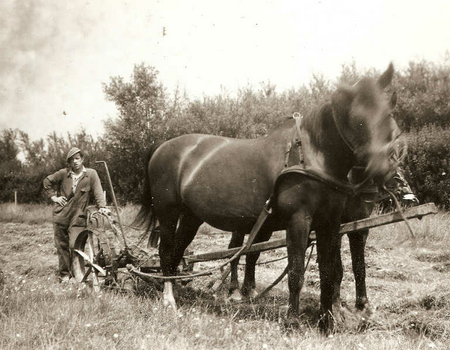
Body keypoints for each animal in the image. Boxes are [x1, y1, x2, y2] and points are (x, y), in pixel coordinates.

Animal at [132, 63, 400, 334]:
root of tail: (161, 147)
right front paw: (292, 320)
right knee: (166, 251)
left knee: (178, 251)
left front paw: (328, 322)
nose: (382, 171)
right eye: (356, 118)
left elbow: (329, 271)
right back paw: (169, 300)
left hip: (191, 217)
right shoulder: (298, 221)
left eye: (389, 114)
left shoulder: (331, 223)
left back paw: (176, 289)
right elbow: (296, 273)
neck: (311, 156)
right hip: (168, 212)